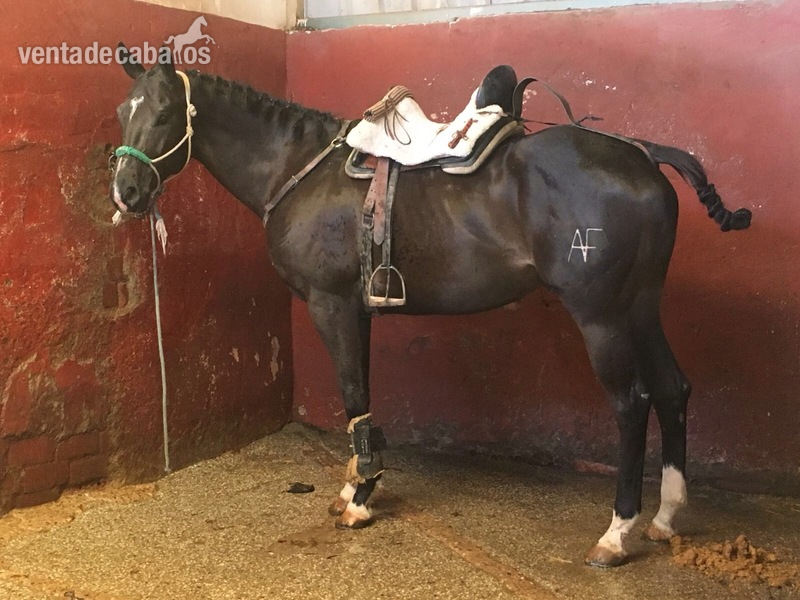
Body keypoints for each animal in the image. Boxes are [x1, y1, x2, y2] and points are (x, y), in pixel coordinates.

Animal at [108, 46, 751, 568]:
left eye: (163, 114)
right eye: (122, 113)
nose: (126, 192)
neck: (299, 169)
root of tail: (643, 155)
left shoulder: (331, 306)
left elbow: (353, 394)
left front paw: (360, 498)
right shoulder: (358, 308)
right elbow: (361, 398)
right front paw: (356, 483)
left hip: (602, 316)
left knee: (632, 403)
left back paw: (617, 533)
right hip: (641, 306)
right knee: (672, 389)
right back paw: (665, 517)